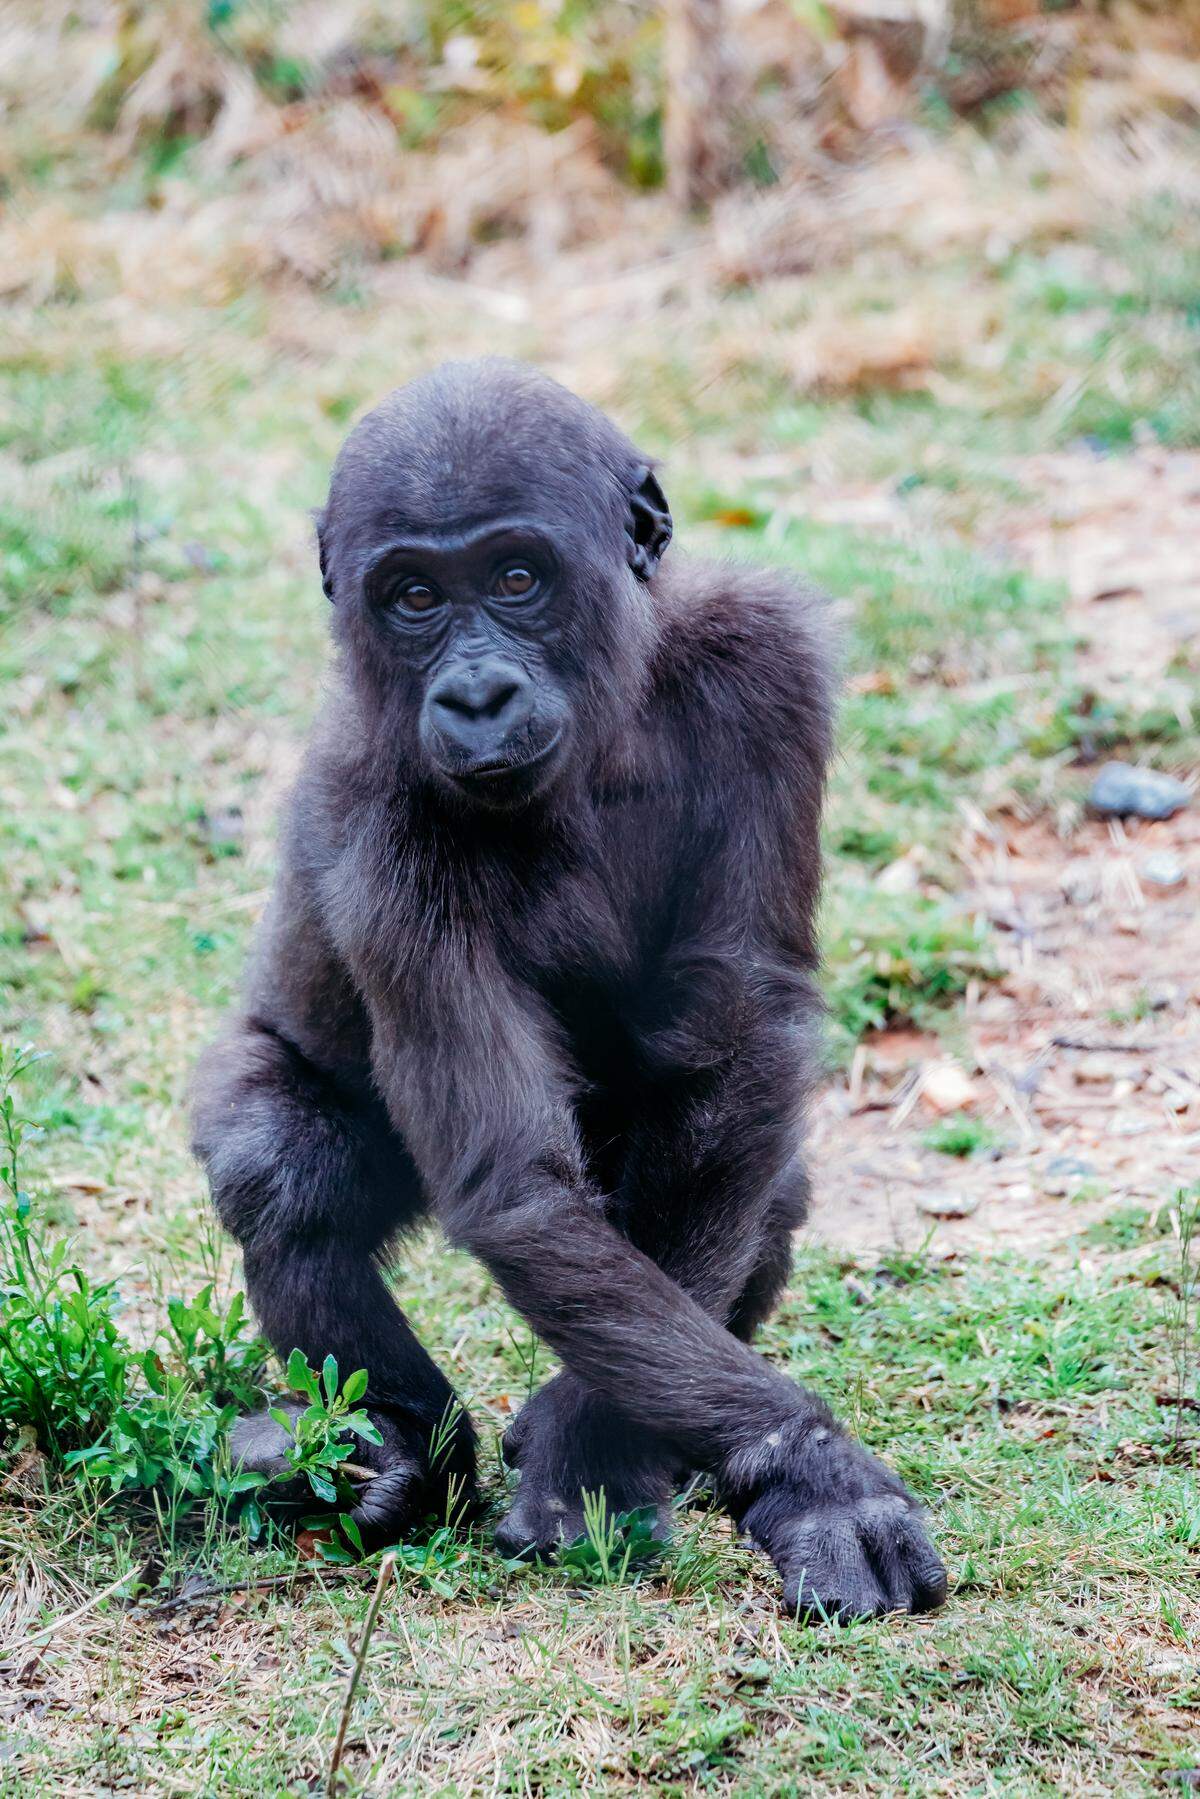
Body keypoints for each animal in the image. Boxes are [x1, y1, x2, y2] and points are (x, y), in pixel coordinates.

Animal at [192, 358, 947, 1621]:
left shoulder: (765, 662)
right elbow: (519, 1186)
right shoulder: (379, 818)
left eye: (516, 576)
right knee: (277, 1157)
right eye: (412, 597)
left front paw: (607, 1447)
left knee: (760, 1183)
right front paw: (806, 1463)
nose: (476, 698)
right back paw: (396, 1445)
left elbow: (734, 1038)